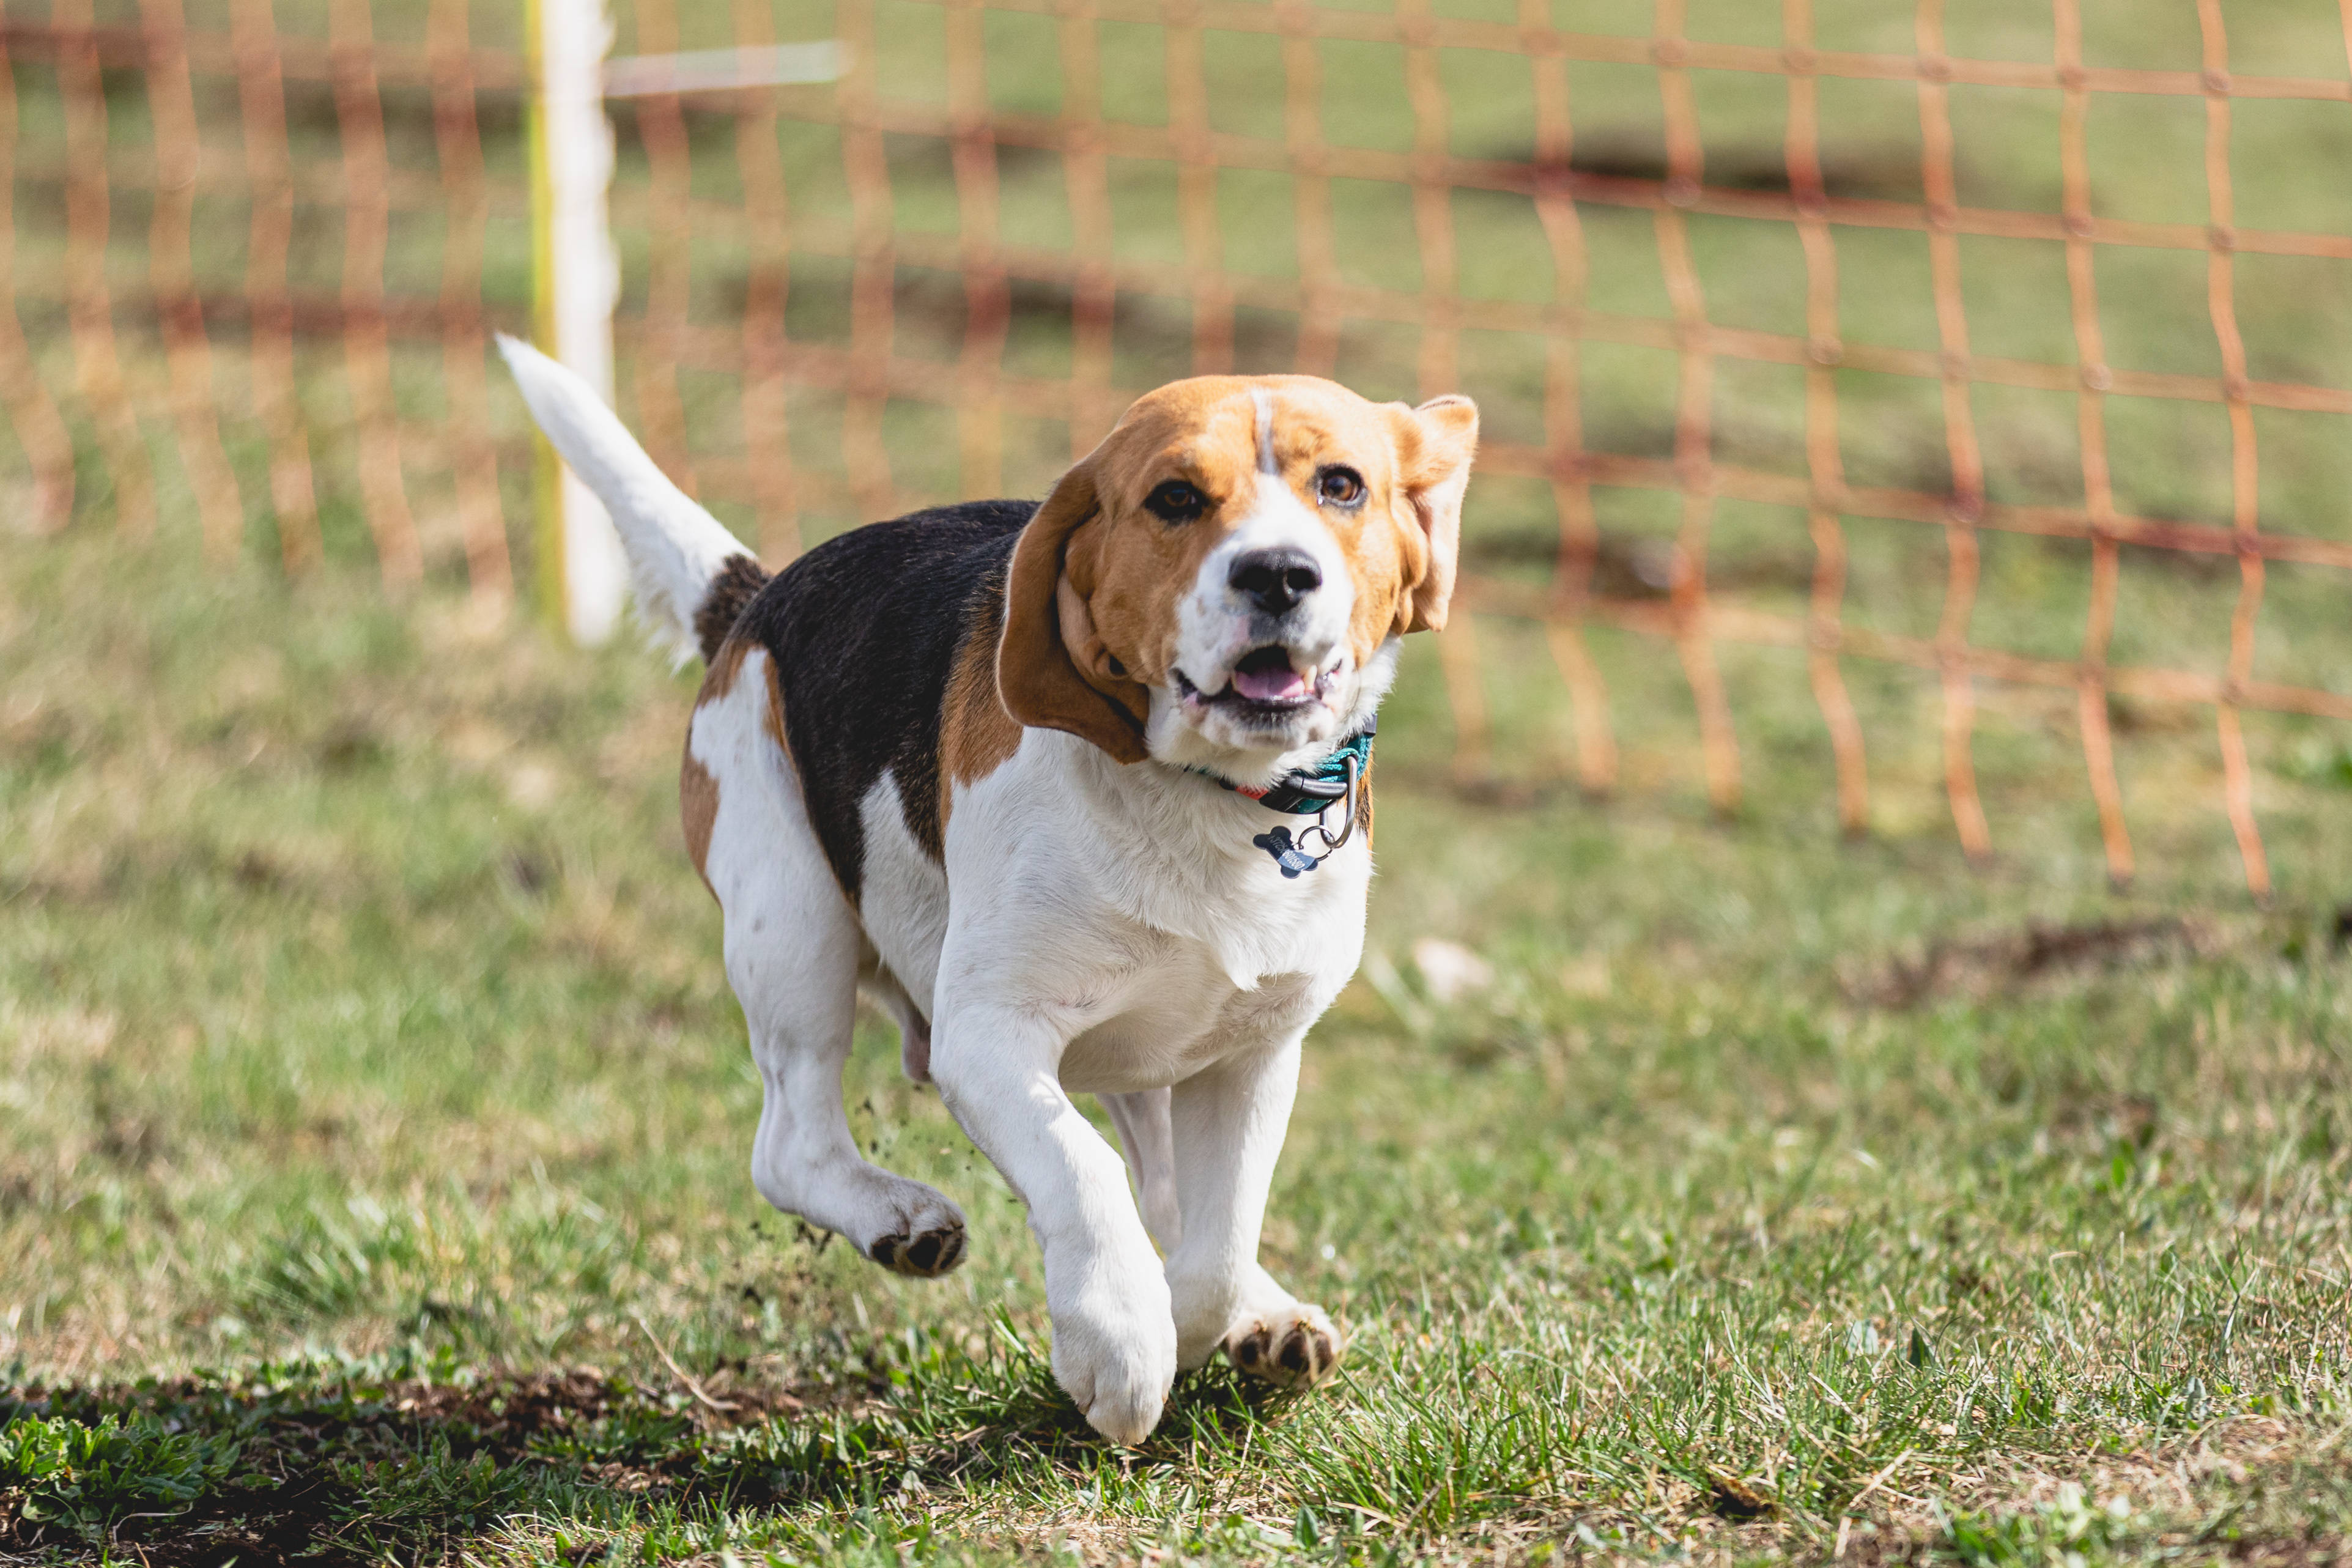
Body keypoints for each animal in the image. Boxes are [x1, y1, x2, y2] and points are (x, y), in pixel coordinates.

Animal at [508, 338, 1477, 1438]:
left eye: (1341, 486)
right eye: (1175, 498)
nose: (1277, 572)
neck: (1206, 798)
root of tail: (757, 600)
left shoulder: (1253, 1052)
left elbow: (1218, 1238)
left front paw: (1202, 1318)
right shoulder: (989, 1037)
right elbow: (1082, 1169)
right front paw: (1119, 1341)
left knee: (1169, 1195)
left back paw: (1262, 1314)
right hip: (791, 921)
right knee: (790, 1140)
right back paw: (898, 1217)